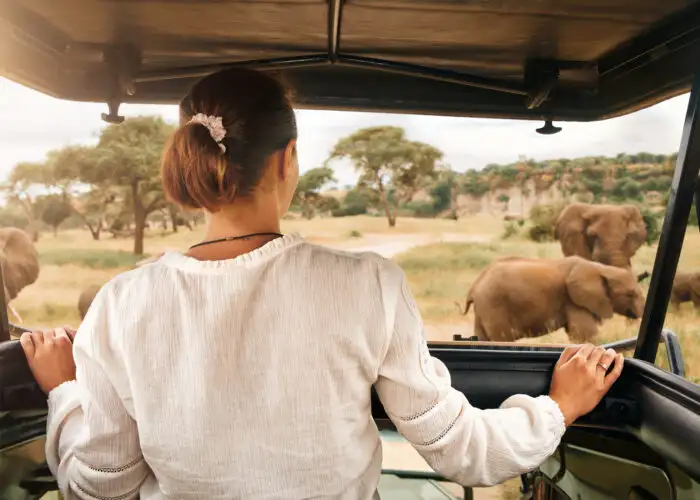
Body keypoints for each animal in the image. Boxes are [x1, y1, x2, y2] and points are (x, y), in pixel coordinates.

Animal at [460, 256, 644, 342]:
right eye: (630, 294)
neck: (602, 269)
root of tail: (474, 286)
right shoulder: (574, 300)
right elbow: (585, 335)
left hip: (484, 308)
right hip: (494, 305)